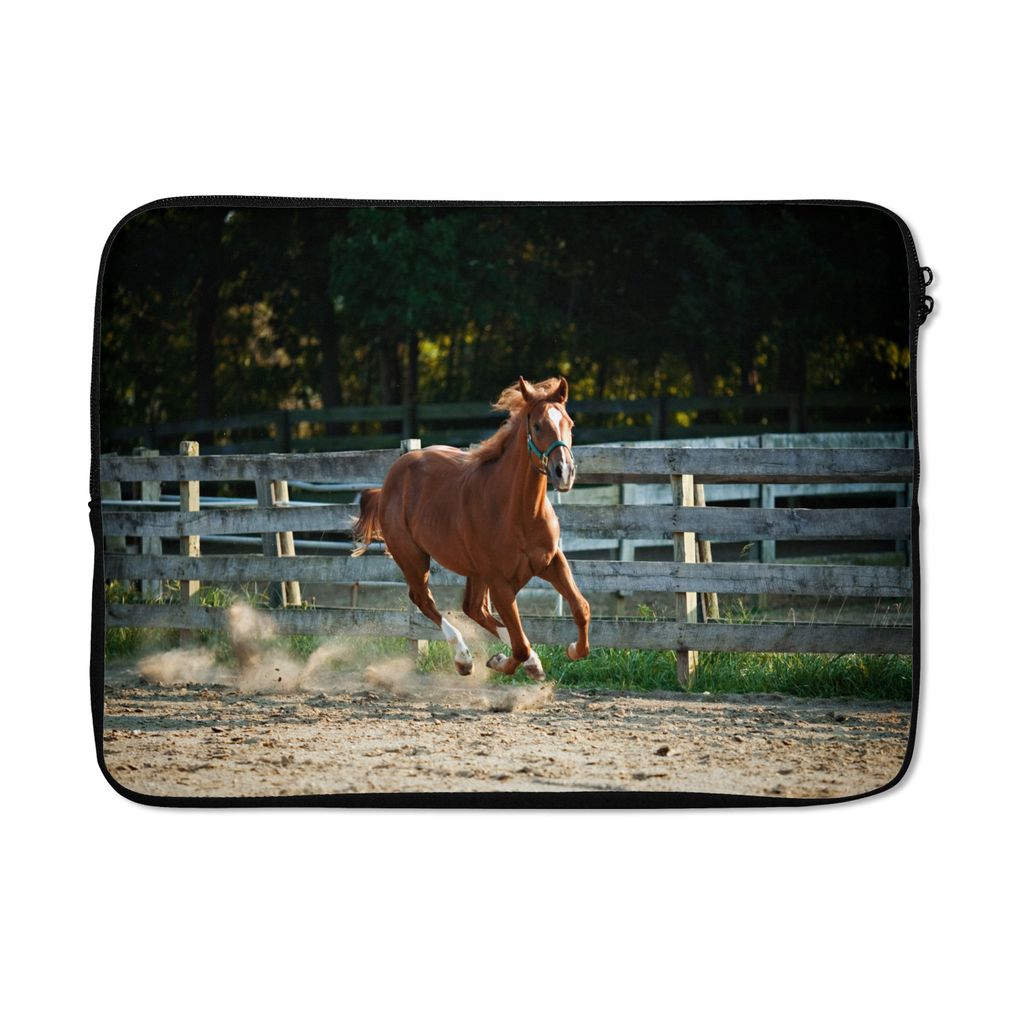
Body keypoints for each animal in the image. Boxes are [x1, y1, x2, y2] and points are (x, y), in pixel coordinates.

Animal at [351, 376, 591, 681]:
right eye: (537, 425)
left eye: (569, 423)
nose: (564, 472)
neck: (519, 513)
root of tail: (389, 482)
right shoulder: (499, 582)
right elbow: (519, 645)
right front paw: (502, 662)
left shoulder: (551, 562)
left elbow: (581, 608)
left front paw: (571, 651)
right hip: (414, 558)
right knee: (424, 600)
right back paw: (464, 658)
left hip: (474, 572)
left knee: (473, 608)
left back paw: (526, 662)